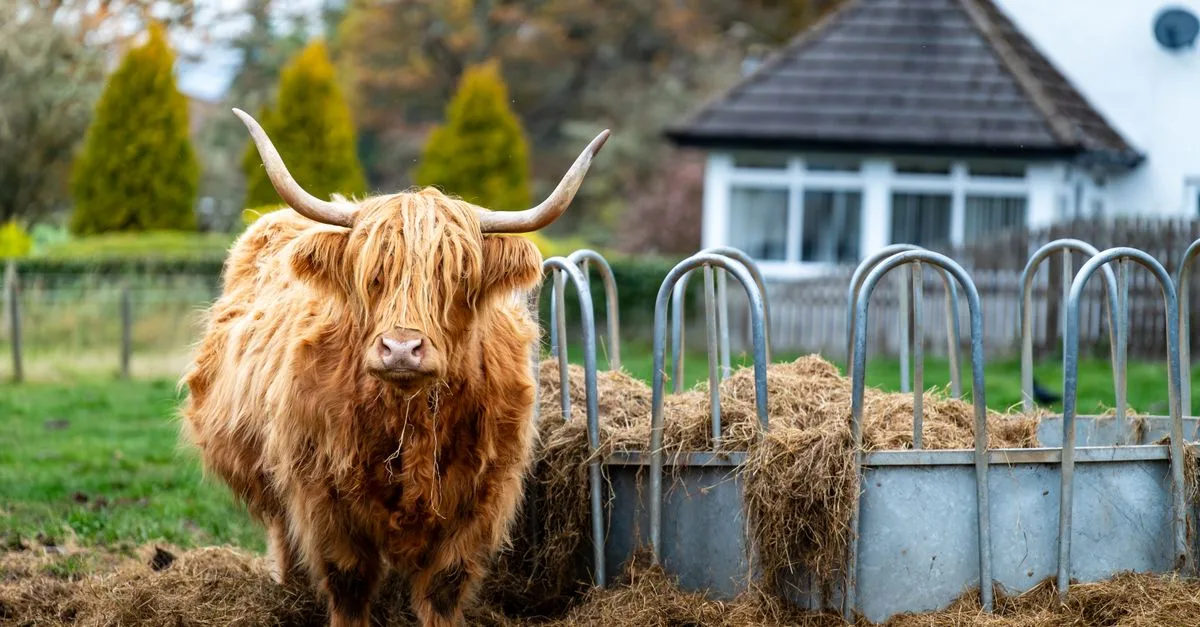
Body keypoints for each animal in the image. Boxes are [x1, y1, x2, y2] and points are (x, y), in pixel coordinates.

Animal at [178, 108, 608, 627]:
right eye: (373, 275)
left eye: (457, 276)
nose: (401, 349)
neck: (409, 420)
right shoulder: (322, 495)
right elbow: (348, 581)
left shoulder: (479, 500)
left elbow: (444, 587)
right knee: (284, 537)